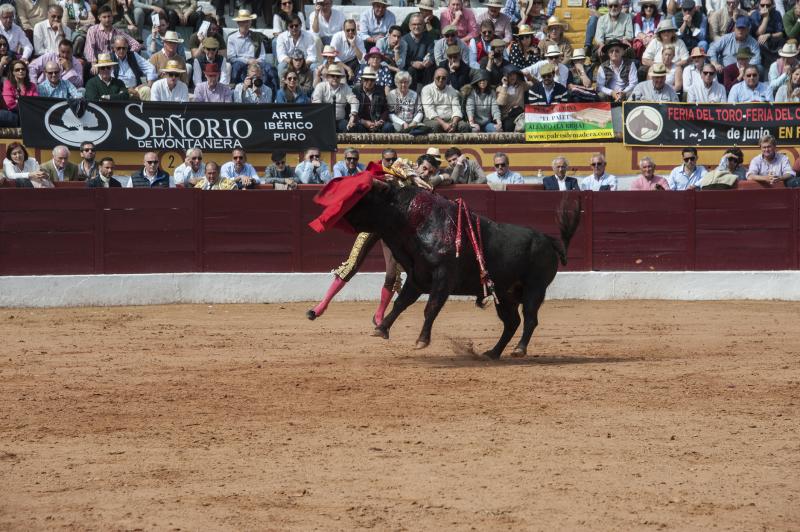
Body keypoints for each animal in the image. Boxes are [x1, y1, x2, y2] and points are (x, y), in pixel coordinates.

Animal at [342, 181, 580, 360]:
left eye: (364, 195)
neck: (415, 222)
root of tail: (549, 240)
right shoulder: (417, 277)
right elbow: (400, 303)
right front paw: (381, 329)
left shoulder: (443, 278)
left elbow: (431, 307)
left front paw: (421, 341)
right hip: (505, 295)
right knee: (512, 322)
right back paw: (492, 353)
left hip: (534, 289)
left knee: (530, 318)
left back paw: (519, 350)